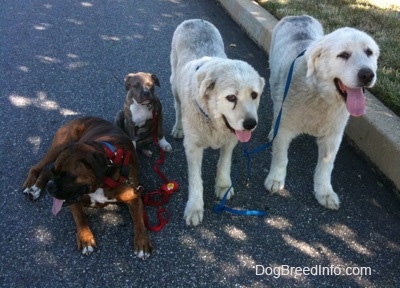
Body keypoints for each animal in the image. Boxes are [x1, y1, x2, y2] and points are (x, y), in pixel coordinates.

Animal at [22, 117, 152, 258]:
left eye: (68, 176)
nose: (50, 187)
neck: (105, 177)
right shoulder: (74, 201)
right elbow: (81, 218)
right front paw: (85, 239)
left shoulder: (134, 198)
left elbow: (139, 222)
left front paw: (142, 242)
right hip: (58, 148)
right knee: (38, 167)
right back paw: (32, 187)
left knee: (45, 171)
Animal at [170, 19, 264, 226]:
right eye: (231, 97)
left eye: (254, 95)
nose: (250, 124)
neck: (212, 120)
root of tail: (194, 20)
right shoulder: (193, 147)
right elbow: (195, 180)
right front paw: (195, 207)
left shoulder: (230, 140)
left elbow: (224, 163)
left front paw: (223, 185)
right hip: (174, 84)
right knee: (177, 106)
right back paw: (178, 127)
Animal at [264, 15, 380, 209]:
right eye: (343, 55)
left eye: (369, 52)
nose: (367, 75)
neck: (319, 94)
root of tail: (298, 16)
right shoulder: (285, 128)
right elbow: (281, 157)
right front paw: (275, 178)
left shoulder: (332, 137)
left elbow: (326, 166)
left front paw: (324, 192)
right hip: (275, 83)